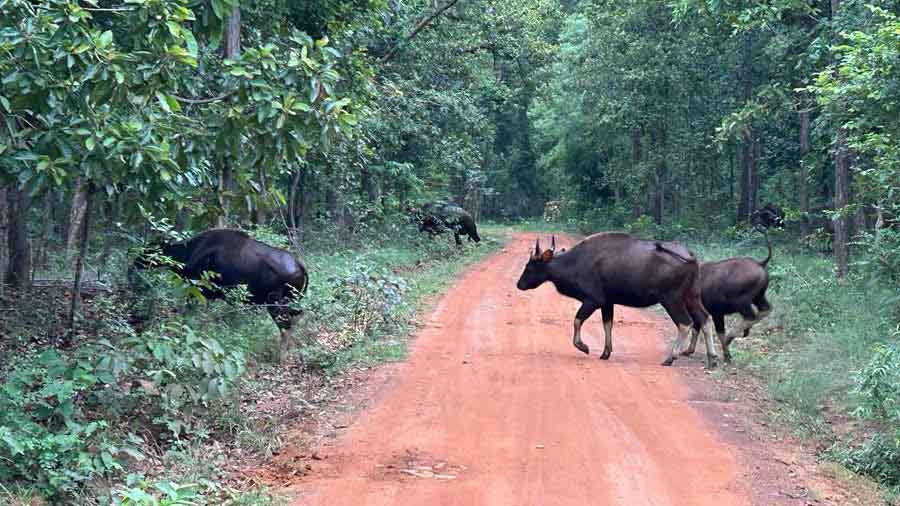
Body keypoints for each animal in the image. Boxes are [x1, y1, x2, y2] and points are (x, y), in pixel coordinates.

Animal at [516, 233, 712, 368]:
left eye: (529, 267)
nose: (519, 284)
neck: (573, 264)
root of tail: (691, 257)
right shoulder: (607, 302)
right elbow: (607, 324)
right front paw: (605, 352)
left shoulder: (593, 299)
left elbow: (577, 320)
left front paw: (583, 346)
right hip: (692, 296)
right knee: (705, 318)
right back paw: (713, 358)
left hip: (671, 298)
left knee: (685, 323)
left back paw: (671, 357)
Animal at [684, 231, 772, 362]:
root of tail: (760, 263)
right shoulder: (716, 313)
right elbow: (703, 329)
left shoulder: (713, 313)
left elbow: (709, 331)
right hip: (759, 297)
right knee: (765, 310)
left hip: (742, 302)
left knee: (751, 316)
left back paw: (731, 336)